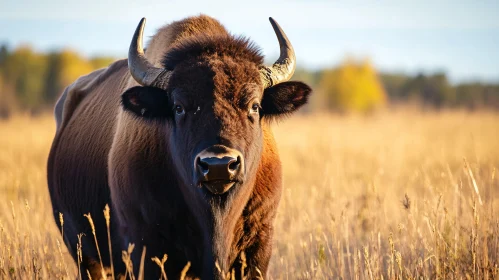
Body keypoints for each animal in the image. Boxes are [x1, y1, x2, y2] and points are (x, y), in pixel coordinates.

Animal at [47, 15, 312, 280]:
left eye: (255, 106)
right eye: (178, 107)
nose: (218, 165)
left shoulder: (259, 242)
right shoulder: (147, 247)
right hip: (85, 255)